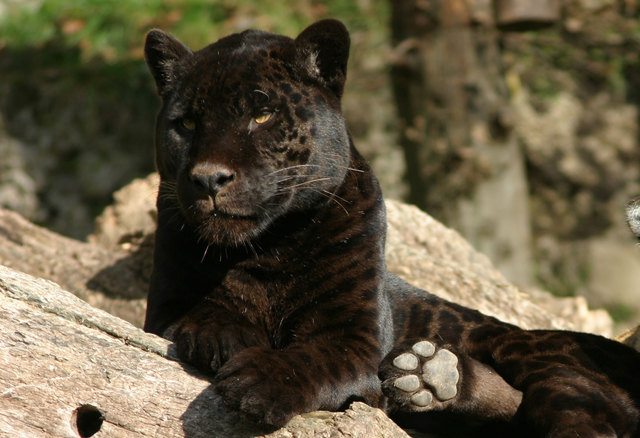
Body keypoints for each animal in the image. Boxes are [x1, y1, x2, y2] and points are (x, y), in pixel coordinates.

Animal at [143, 19, 640, 437]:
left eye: (262, 115)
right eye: (187, 123)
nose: (209, 178)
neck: (268, 247)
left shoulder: (353, 338)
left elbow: (311, 357)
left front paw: (258, 382)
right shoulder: (163, 309)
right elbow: (204, 312)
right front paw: (227, 338)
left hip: (538, 358)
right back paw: (429, 376)